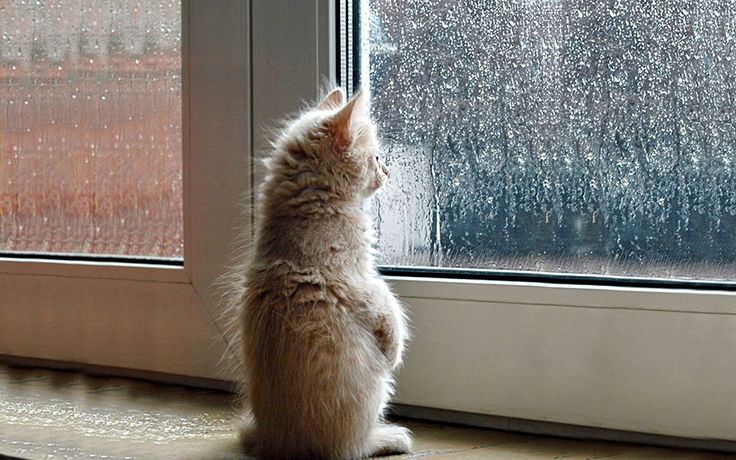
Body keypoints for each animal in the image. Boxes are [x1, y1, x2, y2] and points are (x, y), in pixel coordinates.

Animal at [236, 88, 412, 458]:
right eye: (376, 157)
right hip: (375, 386)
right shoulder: (360, 281)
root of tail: (280, 444)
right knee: (352, 448)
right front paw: (395, 350)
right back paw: (388, 438)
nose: (388, 171)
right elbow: (389, 309)